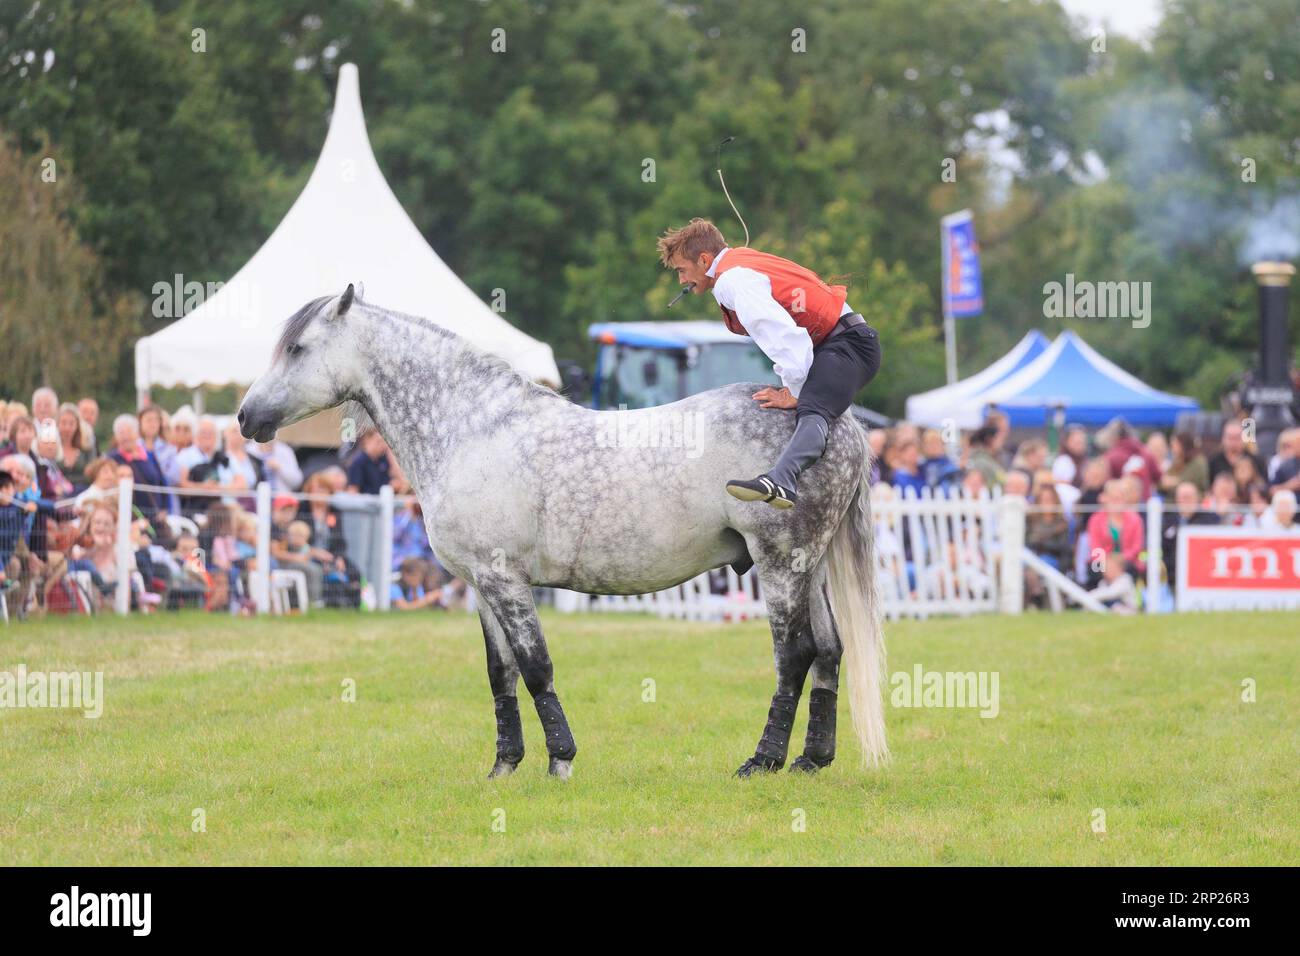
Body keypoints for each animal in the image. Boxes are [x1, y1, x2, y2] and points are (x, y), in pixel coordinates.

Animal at [238, 285, 887, 779]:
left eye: (297, 348)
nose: (246, 417)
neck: (473, 428)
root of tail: (831, 421)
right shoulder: (482, 585)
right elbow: (500, 674)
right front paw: (504, 766)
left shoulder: (506, 579)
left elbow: (535, 666)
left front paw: (560, 762)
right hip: (810, 567)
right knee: (829, 651)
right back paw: (811, 761)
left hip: (780, 565)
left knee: (794, 656)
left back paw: (763, 762)